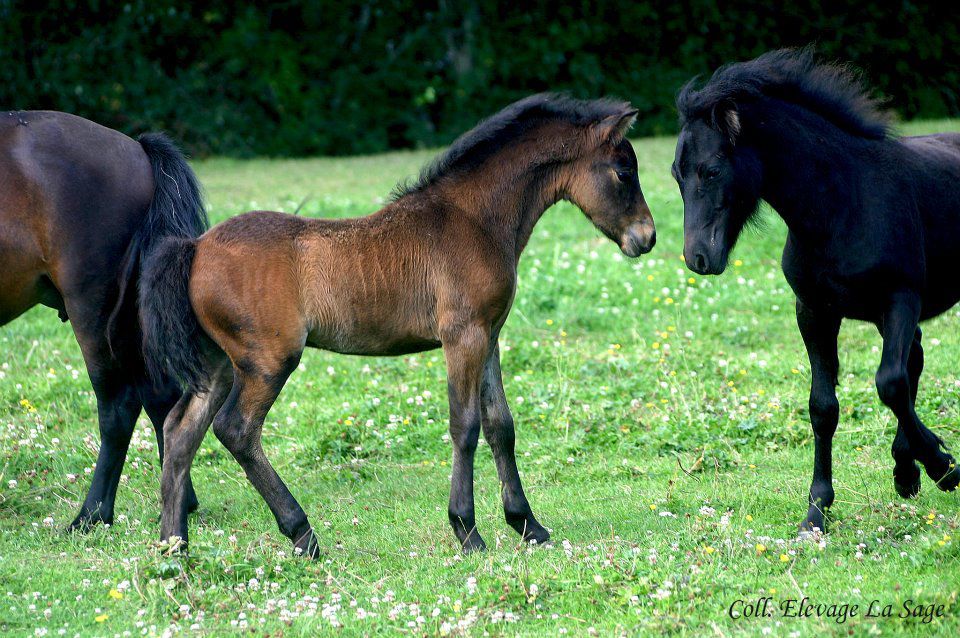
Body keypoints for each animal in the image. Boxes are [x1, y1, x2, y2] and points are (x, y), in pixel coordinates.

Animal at [0, 110, 206, 528]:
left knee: (119, 408)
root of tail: (138, 150)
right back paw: (180, 501)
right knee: (160, 399)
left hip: (95, 313)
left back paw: (92, 514)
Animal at [141, 92, 652, 556]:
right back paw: (302, 533)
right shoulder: (463, 337)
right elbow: (465, 426)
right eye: (624, 172)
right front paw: (467, 531)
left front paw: (528, 525)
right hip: (268, 360)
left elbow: (500, 425)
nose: (645, 238)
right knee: (236, 431)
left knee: (180, 431)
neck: (474, 220)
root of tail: (195, 247)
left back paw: (174, 546)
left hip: (219, 364)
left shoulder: (490, 336)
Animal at [676, 50, 960, 536]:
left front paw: (944, 466)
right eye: (676, 174)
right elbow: (824, 406)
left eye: (710, 169)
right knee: (916, 361)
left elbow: (889, 383)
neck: (843, 203)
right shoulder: (813, 310)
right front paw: (817, 510)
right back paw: (905, 472)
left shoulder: (901, 298)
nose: (697, 257)